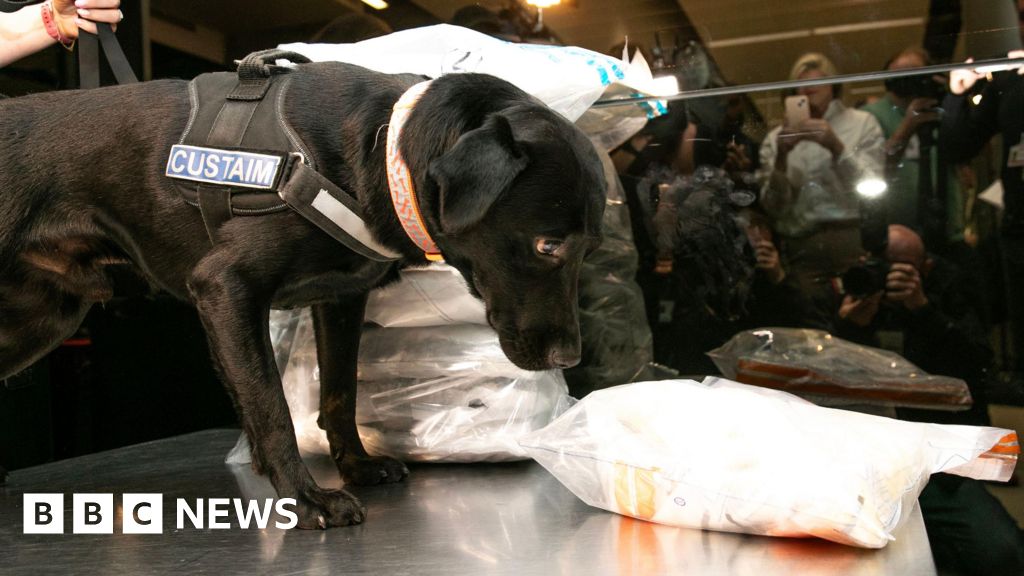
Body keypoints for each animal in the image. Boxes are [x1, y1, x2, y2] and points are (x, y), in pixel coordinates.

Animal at [0, 61, 602, 524]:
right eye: (549, 245)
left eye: (589, 248)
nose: (569, 357)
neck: (381, 146)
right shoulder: (225, 287)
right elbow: (270, 405)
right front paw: (306, 498)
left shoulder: (340, 300)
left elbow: (339, 393)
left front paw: (355, 465)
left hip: (42, 318)